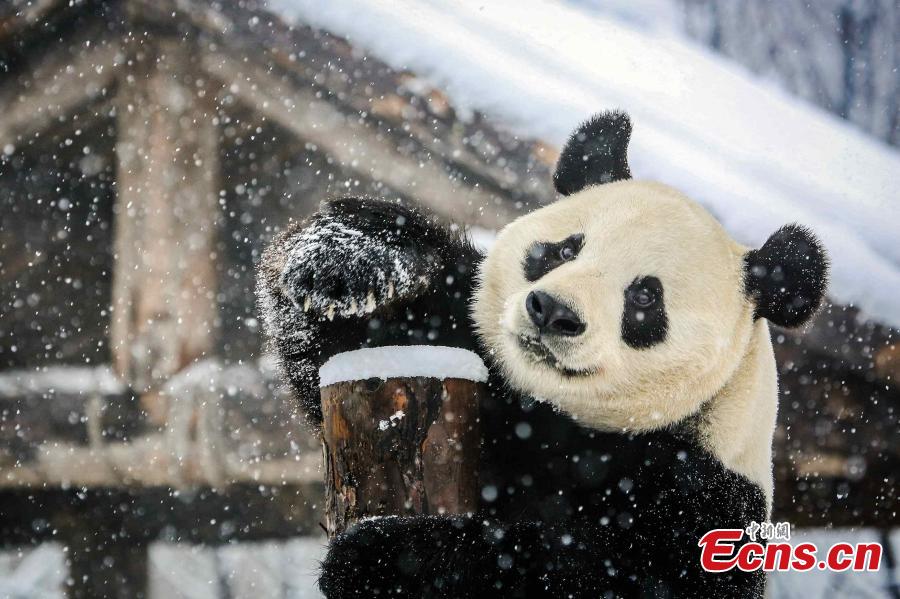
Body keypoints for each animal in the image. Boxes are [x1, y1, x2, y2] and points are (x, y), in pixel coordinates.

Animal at [257, 111, 828, 598]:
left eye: (645, 297)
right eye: (564, 249)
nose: (552, 311)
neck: (562, 417)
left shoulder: (704, 495)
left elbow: (612, 575)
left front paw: (390, 558)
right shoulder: (475, 353)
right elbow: (355, 340)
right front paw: (345, 263)